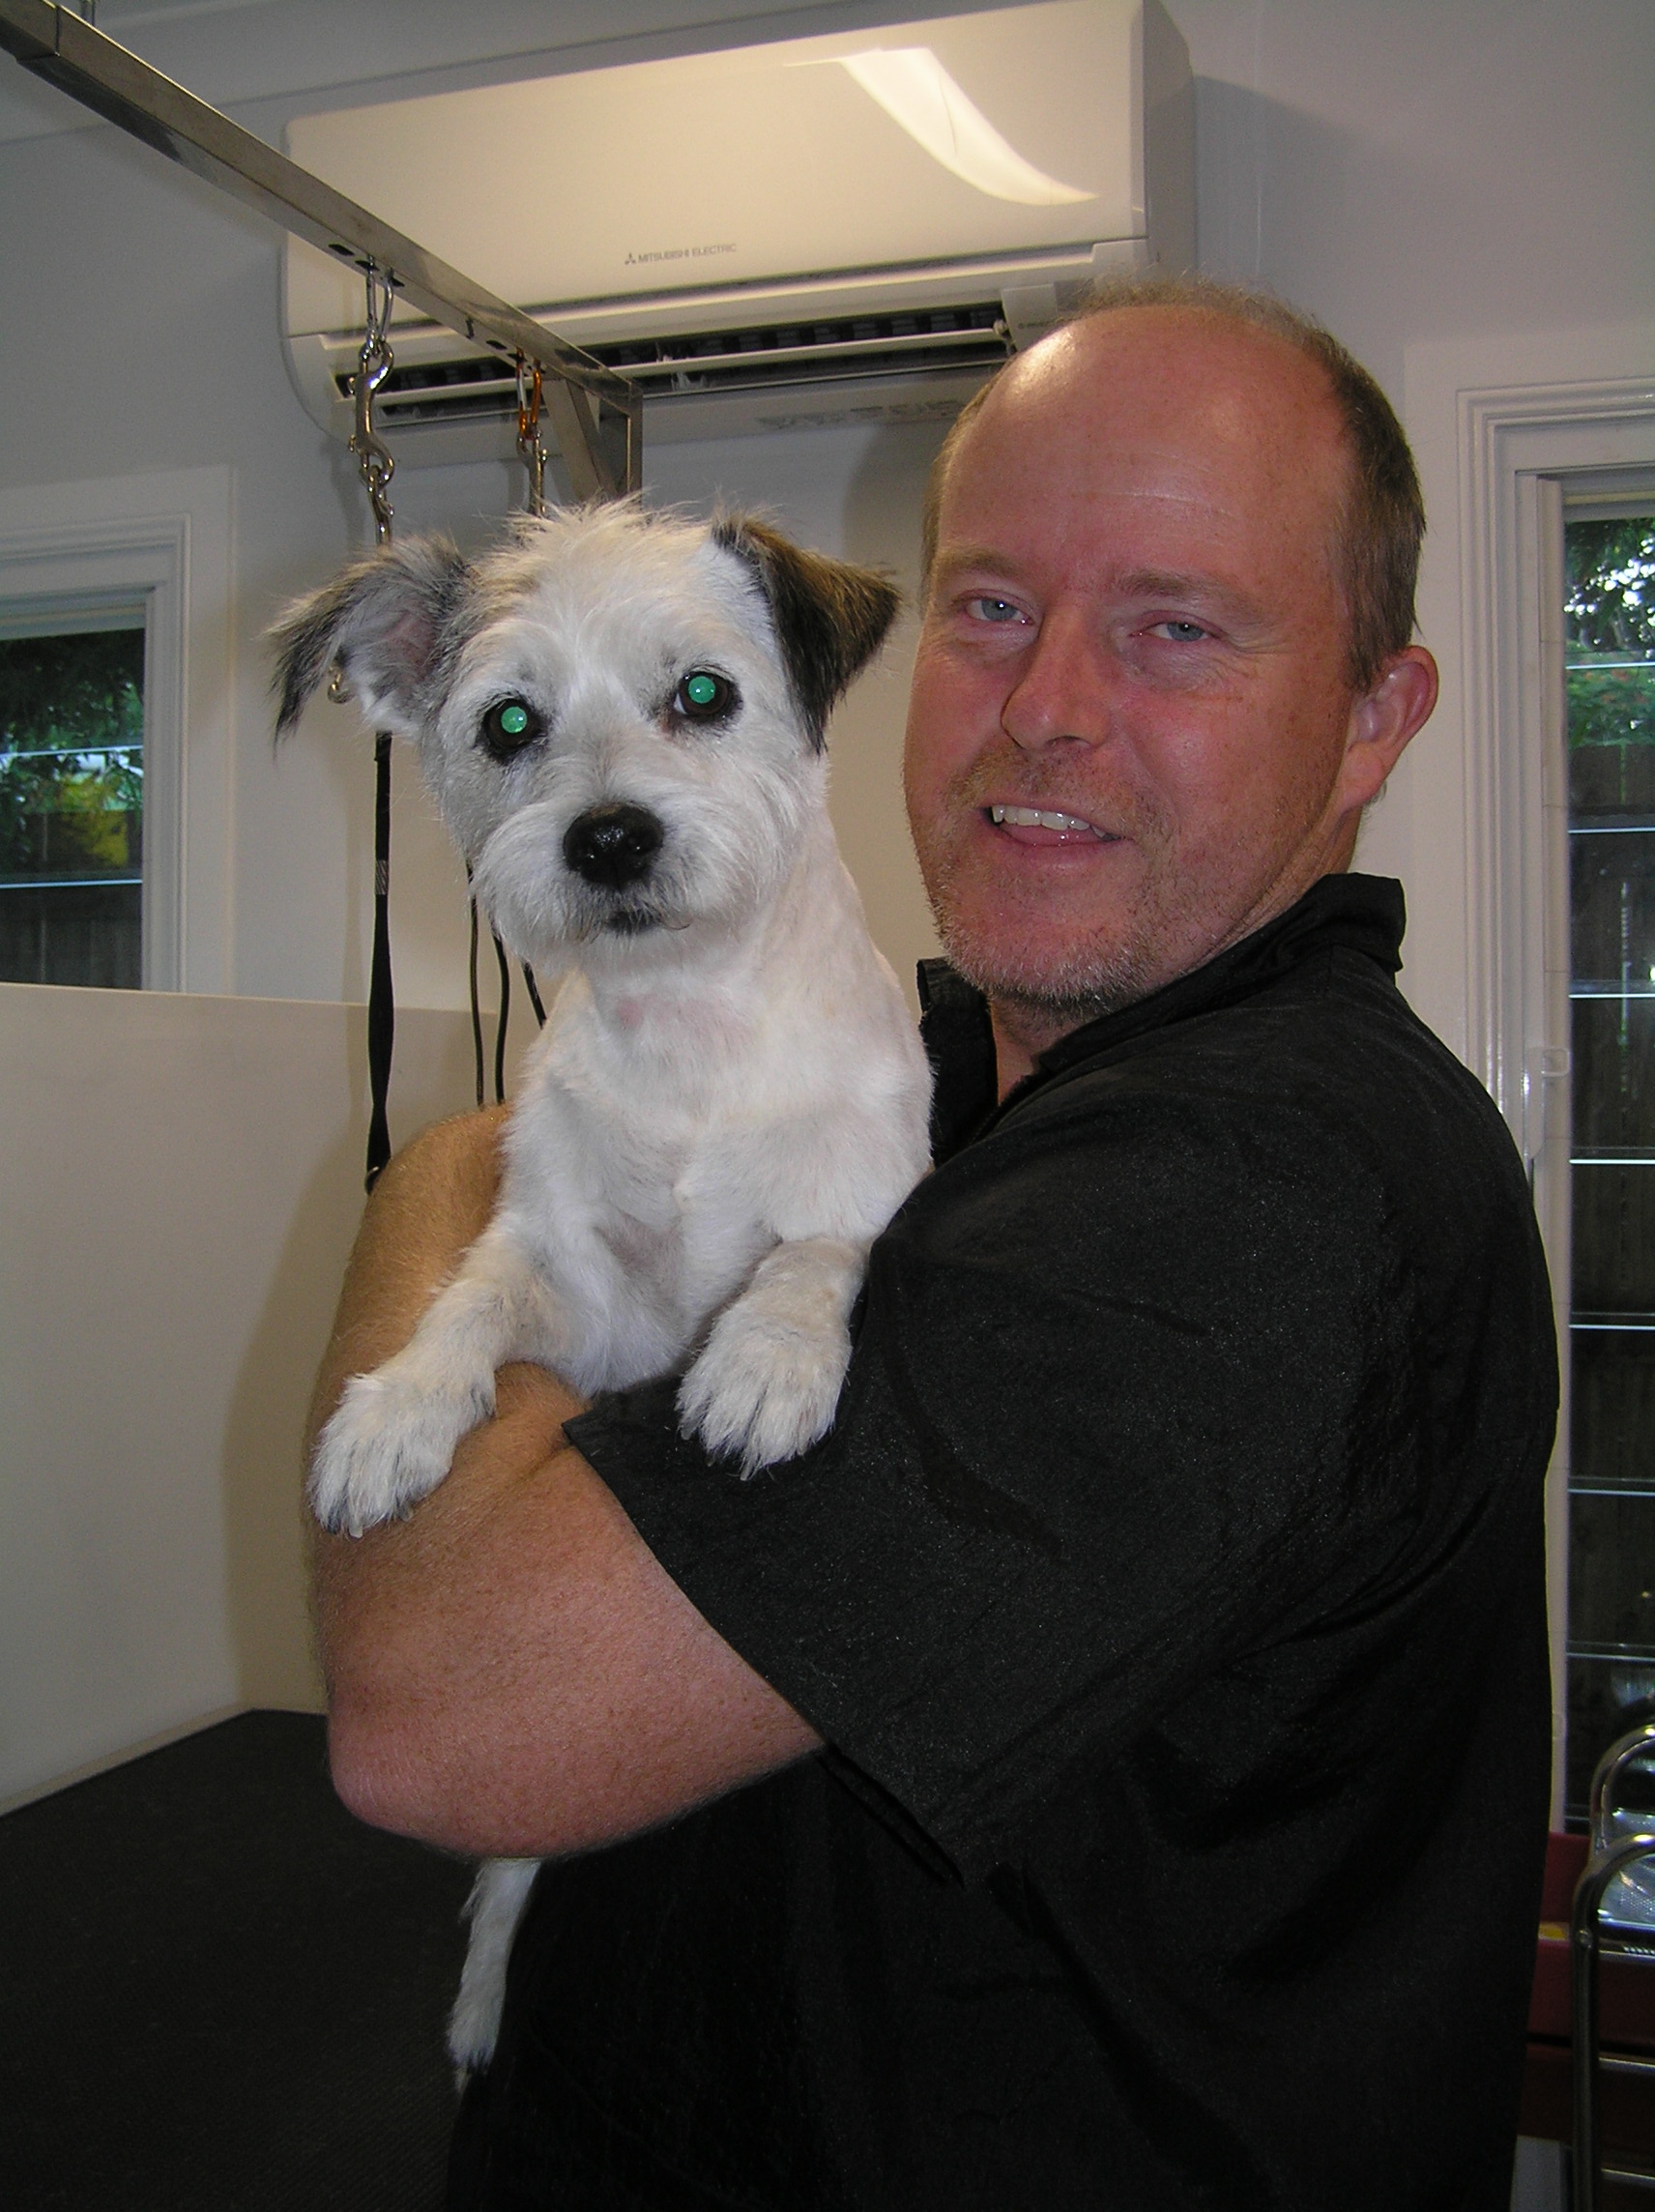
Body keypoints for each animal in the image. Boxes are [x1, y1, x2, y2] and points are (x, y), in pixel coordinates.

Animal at [271, 500, 934, 2069]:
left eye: (703, 693)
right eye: (509, 722)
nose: (609, 835)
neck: (690, 1032)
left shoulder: (868, 1183)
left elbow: (821, 1248)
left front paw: (766, 1356)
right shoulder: (573, 1287)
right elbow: (474, 1294)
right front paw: (394, 1413)